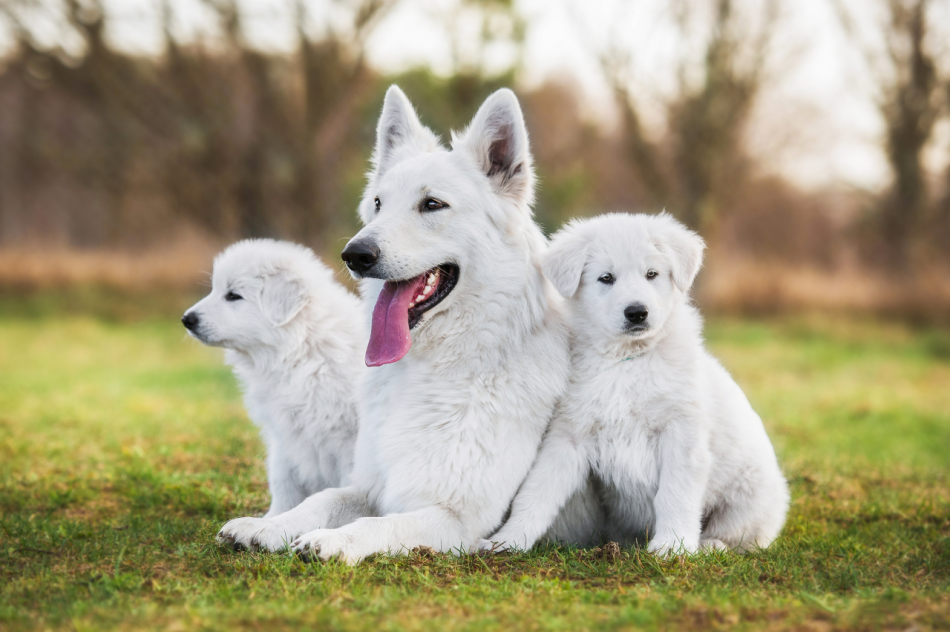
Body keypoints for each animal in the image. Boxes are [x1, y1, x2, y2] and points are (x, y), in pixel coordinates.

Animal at [184, 239, 366, 520]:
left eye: (233, 295)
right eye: (215, 289)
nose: (186, 320)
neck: (300, 351)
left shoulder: (346, 440)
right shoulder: (284, 435)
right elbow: (283, 481)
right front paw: (272, 519)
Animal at [216, 84, 572, 564]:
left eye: (432, 204)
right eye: (378, 204)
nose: (354, 255)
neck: (434, 367)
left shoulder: (456, 521)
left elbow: (380, 523)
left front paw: (334, 540)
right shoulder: (368, 485)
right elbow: (321, 500)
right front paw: (268, 526)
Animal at [480, 215, 792, 556]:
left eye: (651, 274)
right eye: (606, 278)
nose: (637, 312)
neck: (627, 361)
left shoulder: (681, 433)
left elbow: (675, 494)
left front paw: (672, 546)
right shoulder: (569, 434)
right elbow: (537, 492)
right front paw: (509, 540)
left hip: (750, 495)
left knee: (742, 536)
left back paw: (710, 545)